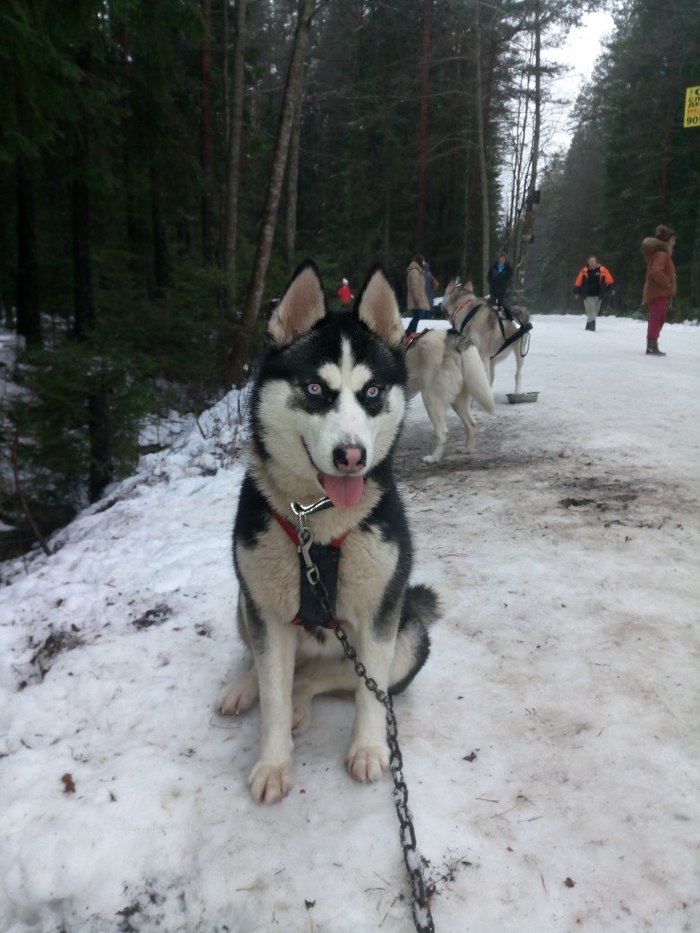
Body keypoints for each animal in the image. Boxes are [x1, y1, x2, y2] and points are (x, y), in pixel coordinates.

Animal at [219, 260, 440, 800]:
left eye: (372, 392)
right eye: (316, 390)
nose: (352, 456)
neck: (314, 523)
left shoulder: (380, 615)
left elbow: (368, 693)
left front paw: (370, 749)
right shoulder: (266, 611)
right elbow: (271, 693)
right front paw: (273, 764)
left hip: (409, 636)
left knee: (321, 679)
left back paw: (304, 700)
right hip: (244, 601)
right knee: (270, 668)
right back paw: (245, 688)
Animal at [402, 330, 494, 464]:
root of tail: (450, 335)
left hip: (430, 398)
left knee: (443, 433)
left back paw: (434, 458)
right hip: (457, 401)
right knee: (471, 424)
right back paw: (467, 449)